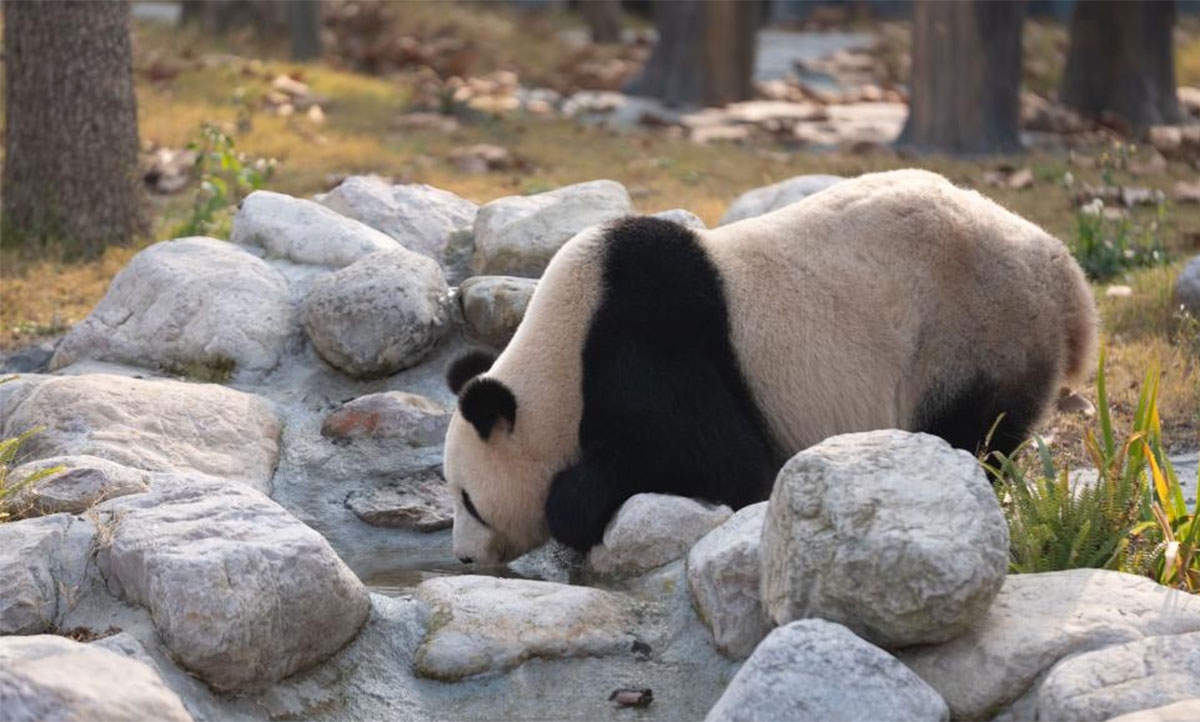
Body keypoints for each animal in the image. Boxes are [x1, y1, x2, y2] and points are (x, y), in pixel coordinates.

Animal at [443, 169, 1098, 565]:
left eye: (469, 500)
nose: (464, 556)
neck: (560, 353)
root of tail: (1067, 278)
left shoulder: (644, 341)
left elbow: (724, 466)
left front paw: (574, 501)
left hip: (974, 332)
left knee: (975, 430)